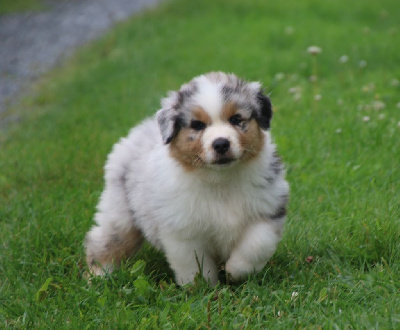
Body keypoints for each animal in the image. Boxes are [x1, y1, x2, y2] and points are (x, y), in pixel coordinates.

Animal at [86, 72, 290, 286]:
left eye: (236, 119)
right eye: (197, 125)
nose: (221, 144)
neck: (220, 181)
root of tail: (137, 132)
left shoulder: (268, 210)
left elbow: (257, 245)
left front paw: (235, 271)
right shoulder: (183, 230)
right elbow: (195, 264)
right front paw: (202, 288)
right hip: (121, 217)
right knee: (104, 242)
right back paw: (97, 277)